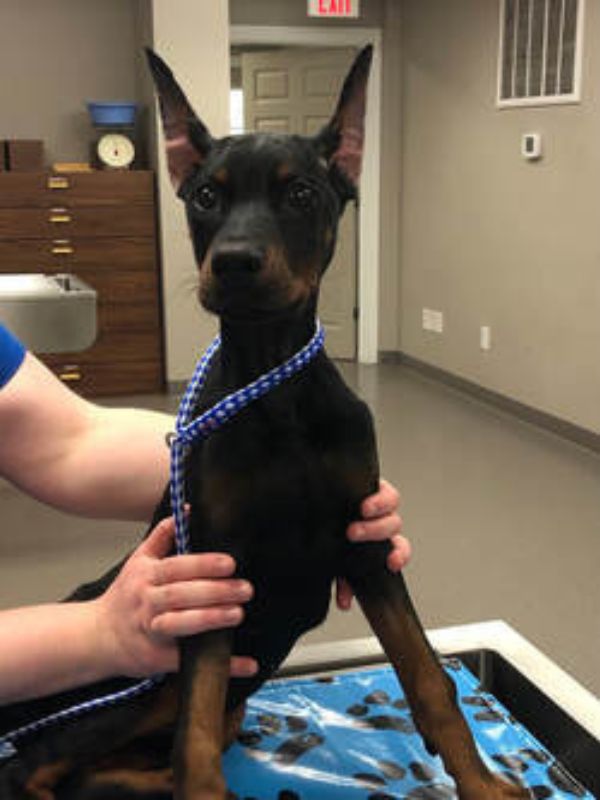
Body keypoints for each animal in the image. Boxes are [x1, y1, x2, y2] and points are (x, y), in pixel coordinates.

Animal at [0, 48, 528, 800]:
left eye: (301, 193)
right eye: (205, 197)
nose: (235, 263)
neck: (275, 392)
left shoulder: (367, 544)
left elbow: (429, 679)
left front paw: (483, 785)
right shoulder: (213, 571)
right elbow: (193, 746)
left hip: (220, 697)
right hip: (145, 679)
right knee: (40, 762)